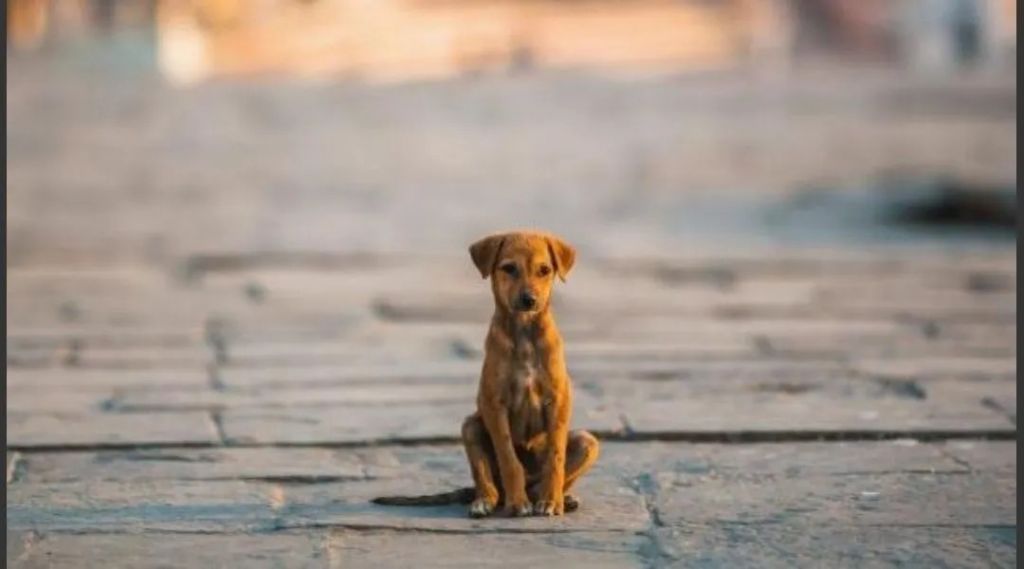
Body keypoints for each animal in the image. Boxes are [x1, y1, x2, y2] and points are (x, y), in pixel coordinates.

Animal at [374, 230, 598, 515]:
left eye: (545, 270)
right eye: (509, 268)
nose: (529, 300)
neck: (524, 333)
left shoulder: (558, 401)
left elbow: (555, 457)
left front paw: (551, 501)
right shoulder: (494, 404)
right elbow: (508, 458)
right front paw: (517, 503)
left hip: (587, 440)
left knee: (543, 481)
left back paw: (558, 498)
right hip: (470, 427)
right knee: (487, 481)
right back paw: (487, 501)